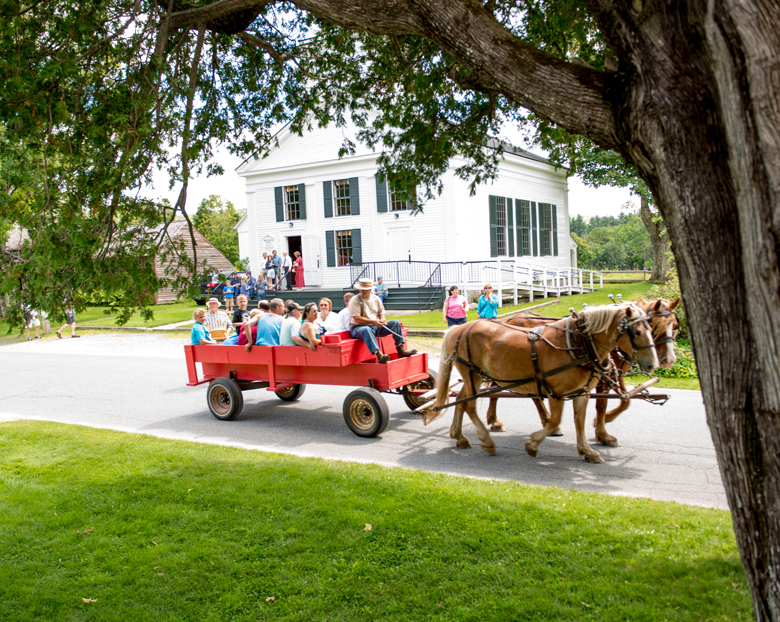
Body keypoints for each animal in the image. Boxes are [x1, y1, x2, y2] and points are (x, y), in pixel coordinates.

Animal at [424, 304, 660, 466]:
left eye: (652, 329)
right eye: (637, 332)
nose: (654, 364)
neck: (577, 344)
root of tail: (460, 328)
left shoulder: (581, 392)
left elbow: (580, 422)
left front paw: (587, 451)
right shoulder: (556, 392)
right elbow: (555, 421)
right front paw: (533, 444)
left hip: (473, 376)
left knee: (461, 400)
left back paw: (459, 436)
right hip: (473, 374)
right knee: (470, 404)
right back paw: (486, 440)